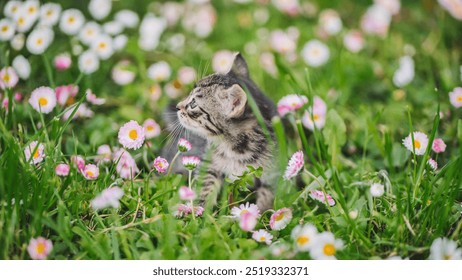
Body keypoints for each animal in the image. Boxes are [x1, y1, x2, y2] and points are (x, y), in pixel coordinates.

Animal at [171, 53, 276, 210]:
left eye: (193, 104)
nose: (177, 106)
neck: (236, 148)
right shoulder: (210, 162)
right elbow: (206, 182)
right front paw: (199, 209)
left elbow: (268, 195)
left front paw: (260, 213)